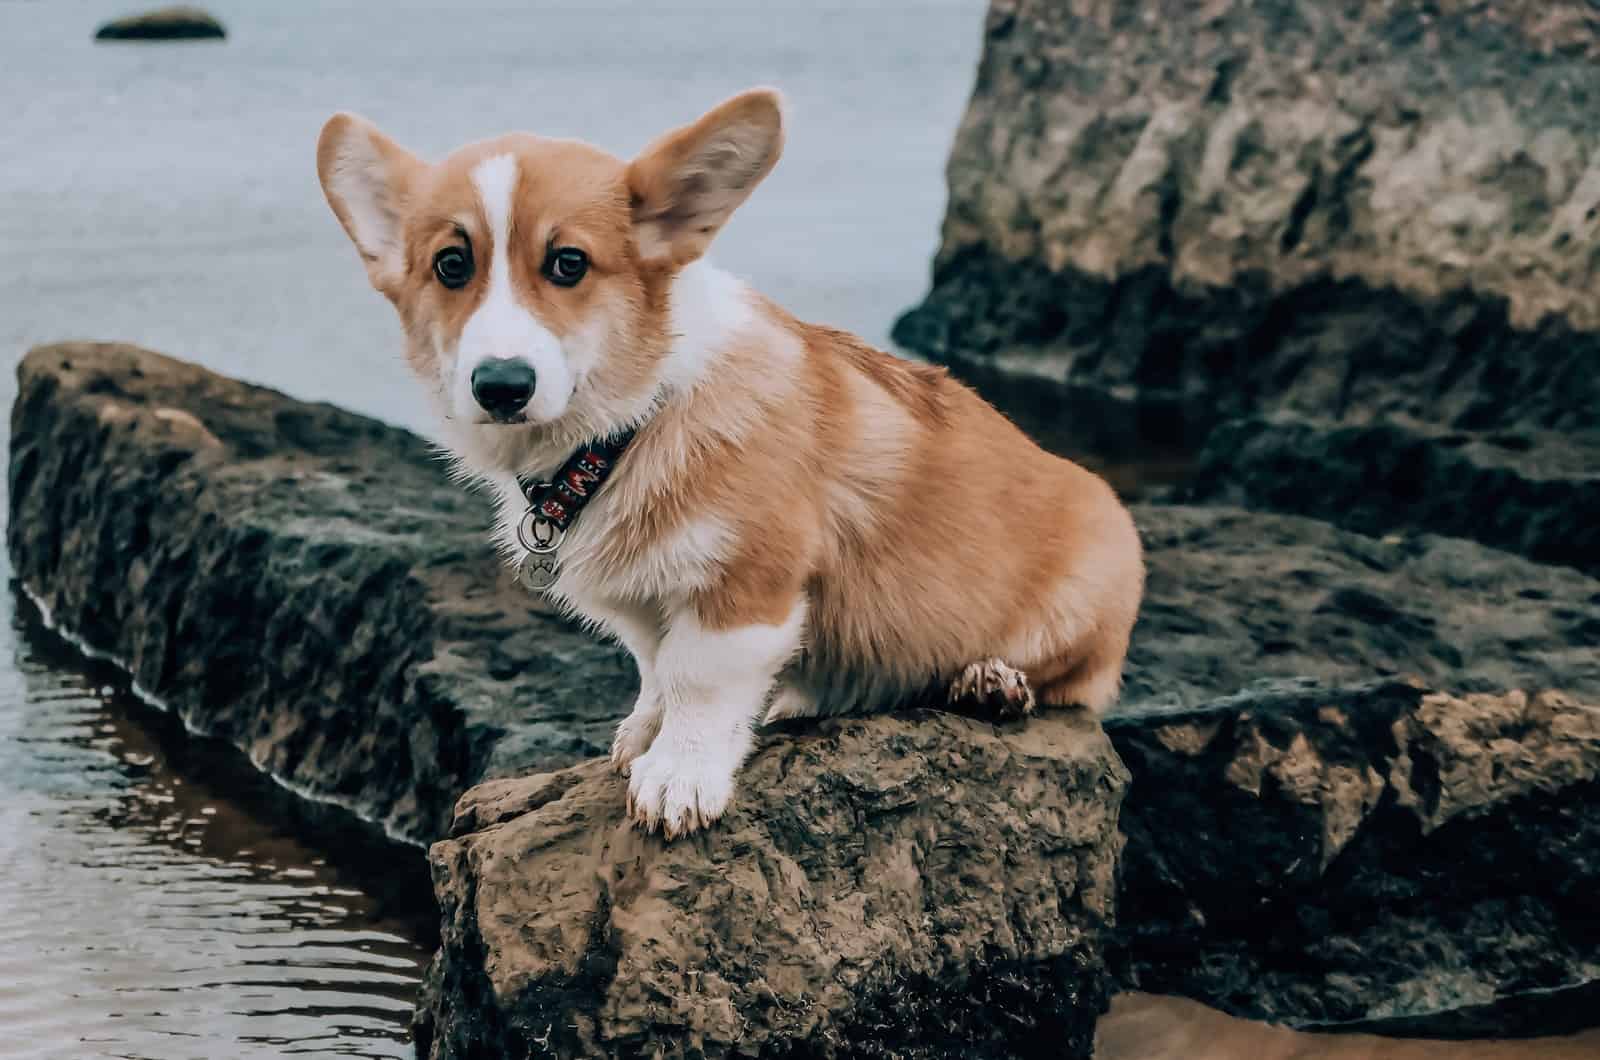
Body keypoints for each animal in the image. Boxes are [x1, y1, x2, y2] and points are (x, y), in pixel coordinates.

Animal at [315, 89, 1139, 839]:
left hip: (1091, 581)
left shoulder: (747, 587)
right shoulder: (647, 602)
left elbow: (700, 681)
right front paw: (645, 732)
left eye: (569, 264)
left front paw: (678, 776)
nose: (502, 386)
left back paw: (991, 681)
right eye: (451, 266)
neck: (626, 429)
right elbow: (657, 667)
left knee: (1075, 681)